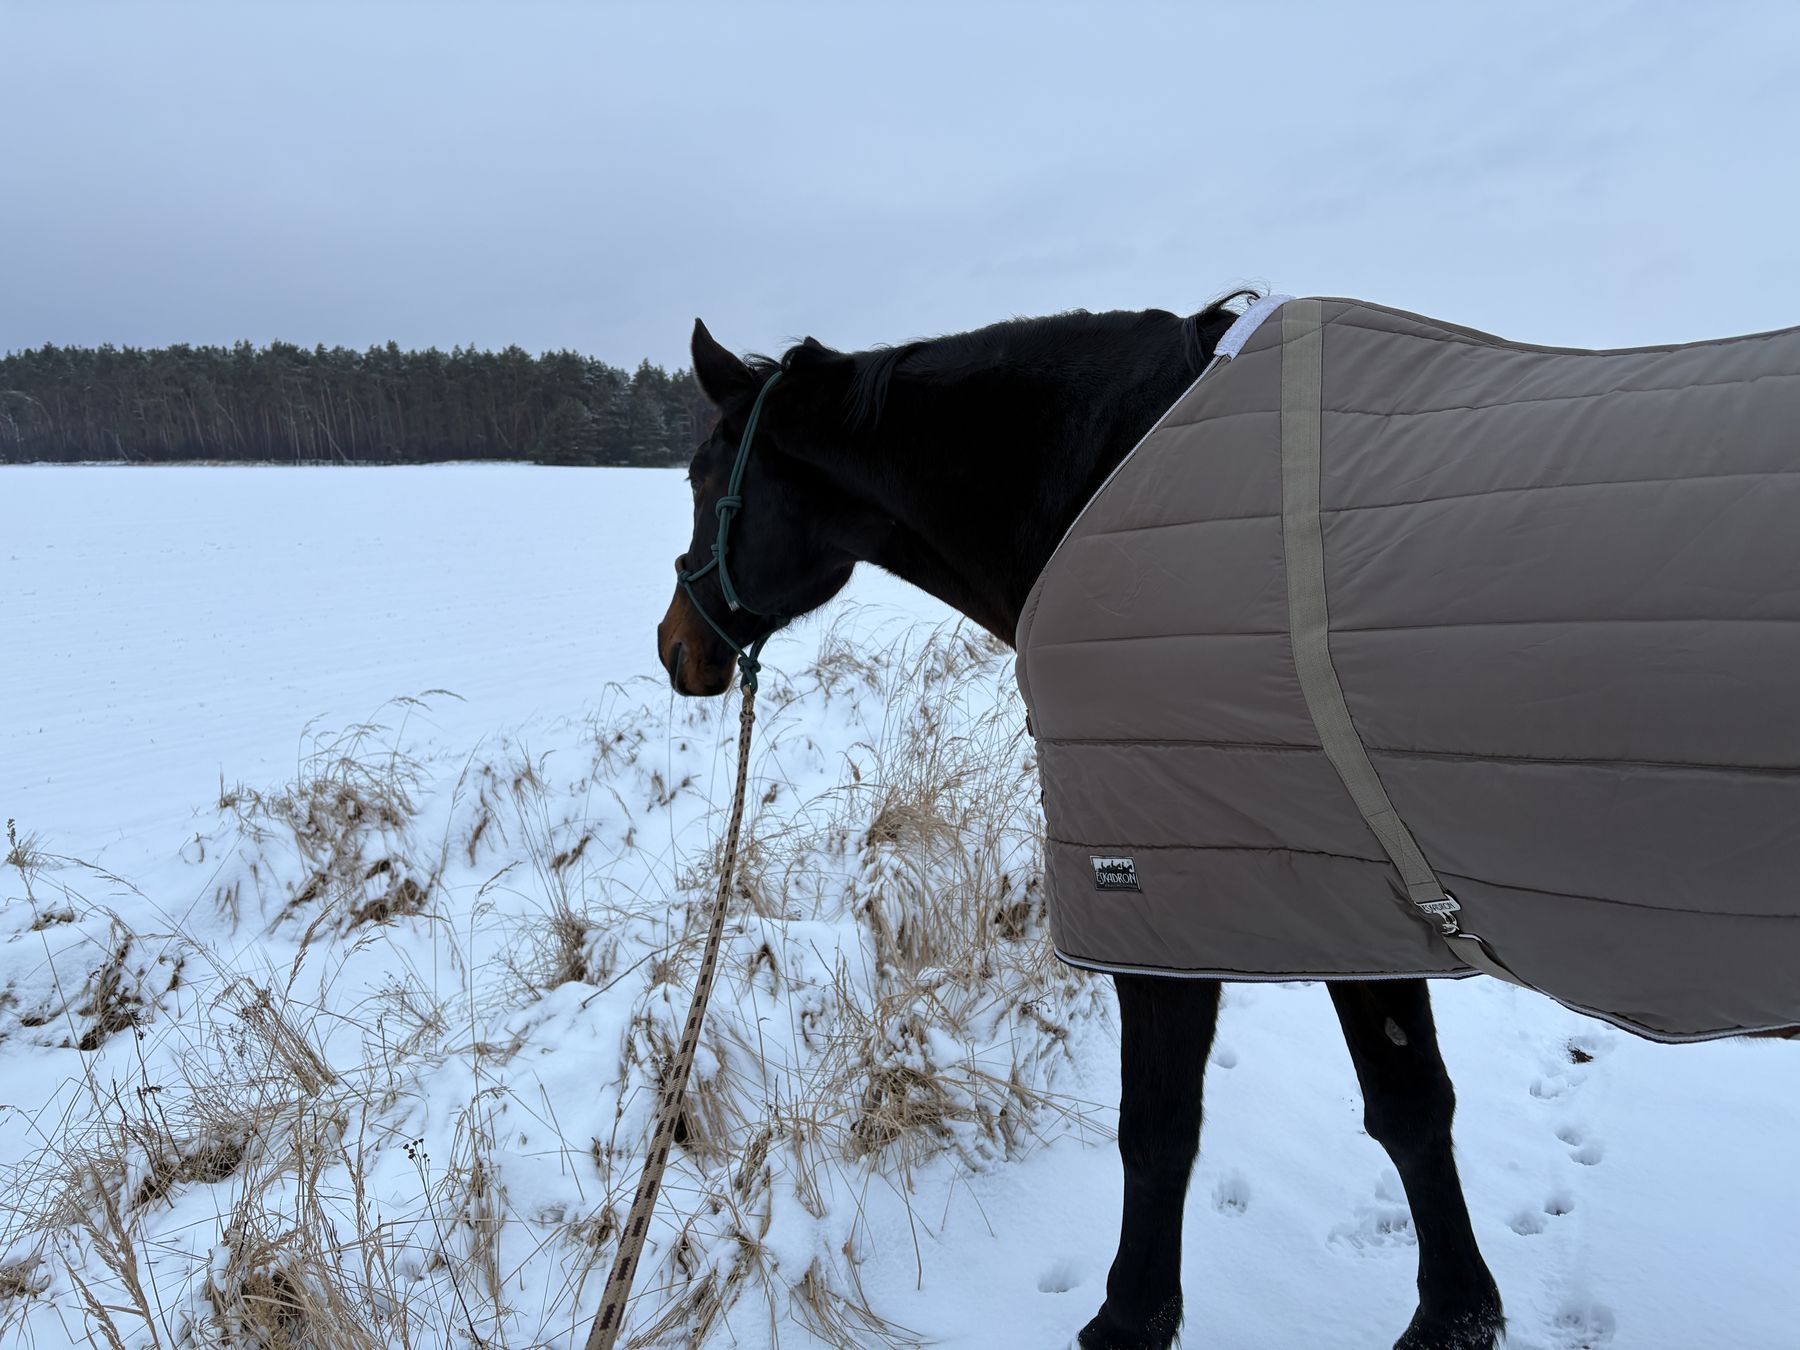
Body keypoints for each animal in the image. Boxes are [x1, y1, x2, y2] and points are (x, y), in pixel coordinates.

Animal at [655, 296, 1504, 1349]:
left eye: (700, 479)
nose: (674, 647)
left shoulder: (1183, 903)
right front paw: (1457, 1312)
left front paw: (1131, 1316)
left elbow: (1160, 1127)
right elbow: (1410, 1104)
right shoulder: (1357, 903)